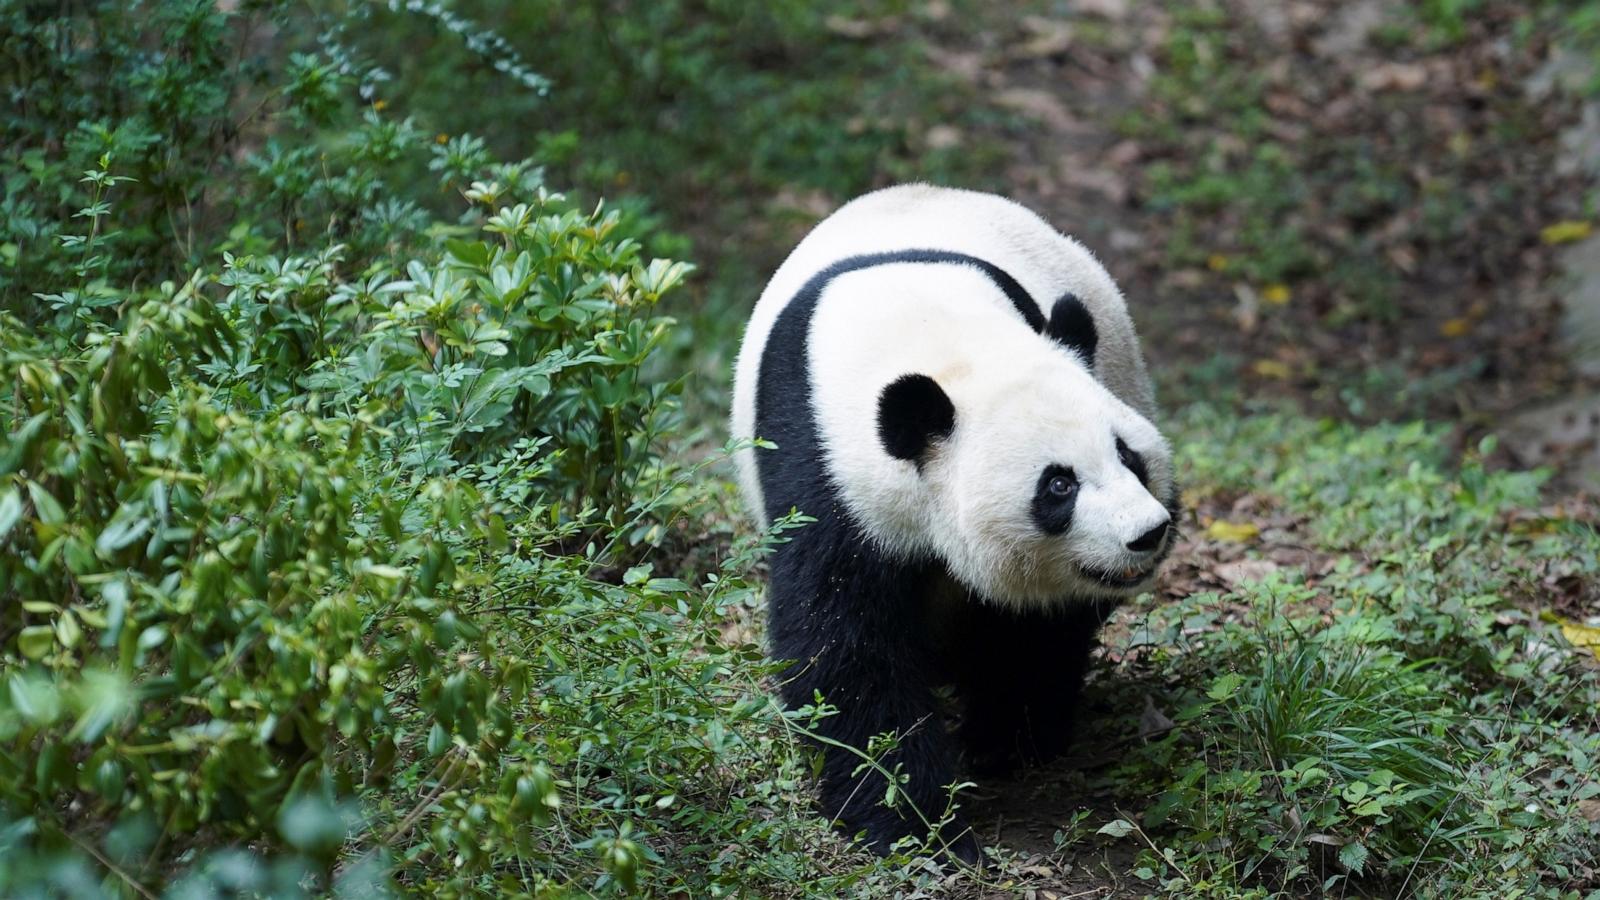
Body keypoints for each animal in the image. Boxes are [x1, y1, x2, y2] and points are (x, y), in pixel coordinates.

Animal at [730, 184, 1177, 862]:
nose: (1147, 533)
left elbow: (1028, 627)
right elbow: (846, 645)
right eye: (1059, 485)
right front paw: (911, 823)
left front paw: (1003, 737)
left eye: (1129, 457)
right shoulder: (822, 467)